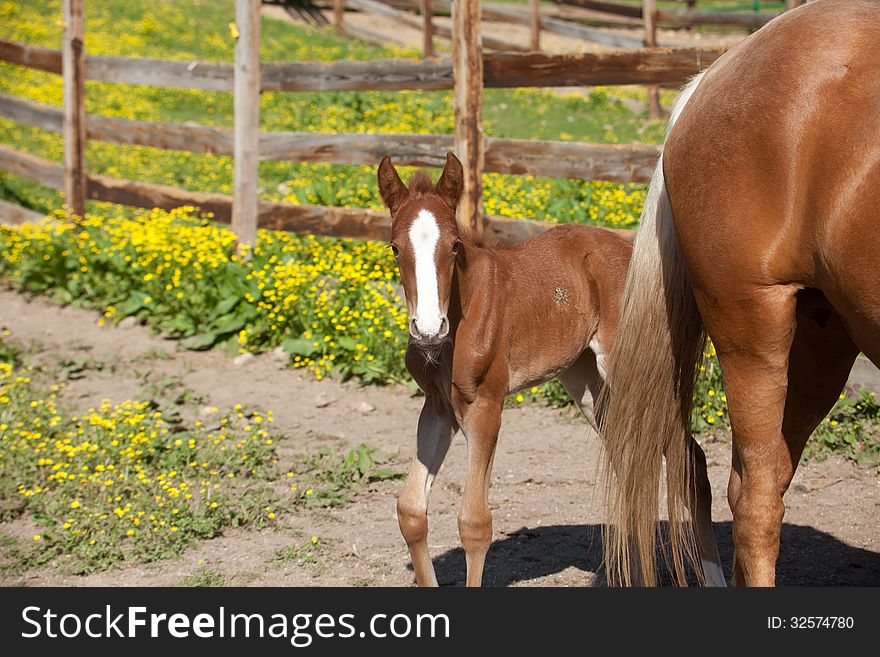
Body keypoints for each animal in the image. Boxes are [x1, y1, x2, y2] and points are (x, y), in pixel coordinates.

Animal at [374, 152, 724, 584]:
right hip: (589, 384)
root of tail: (638, 256)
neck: (461, 310)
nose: (426, 328)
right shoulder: (438, 408)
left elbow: (474, 523)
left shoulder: (486, 405)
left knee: (688, 462)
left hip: (634, 372)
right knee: (631, 464)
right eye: (394, 248)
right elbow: (410, 510)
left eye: (454, 245)